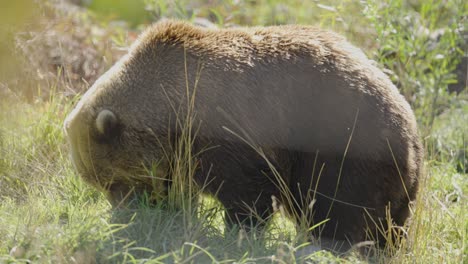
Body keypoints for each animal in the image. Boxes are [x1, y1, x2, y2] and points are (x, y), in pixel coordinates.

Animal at [63, 20, 424, 252]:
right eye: (100, 183)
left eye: (115, 182)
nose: (126, 216)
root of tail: (414, 134)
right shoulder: (180, 156)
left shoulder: (230, 130)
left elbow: (248, 195)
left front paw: (237, 235)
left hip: (347, 144)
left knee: (339, 205)